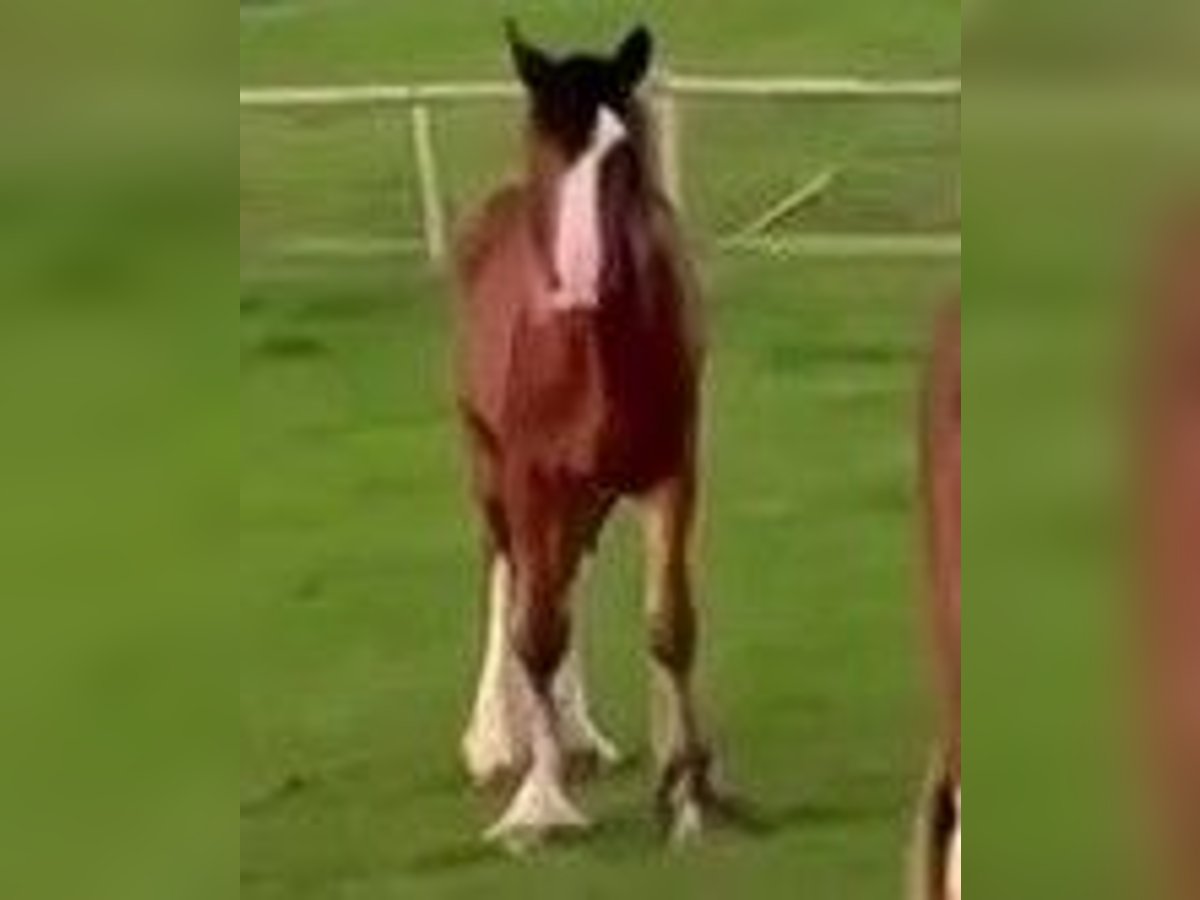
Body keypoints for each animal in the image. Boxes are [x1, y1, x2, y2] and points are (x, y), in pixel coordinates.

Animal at [453, 22, 715, 850]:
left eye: (620, 152)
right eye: (542, 143)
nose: (575, 282)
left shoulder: (671, 470)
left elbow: (670, 626)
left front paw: (690, 799)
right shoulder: (531, 475)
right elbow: (535, 628)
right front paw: (539, 804)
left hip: (590, 491)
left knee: (567, 571)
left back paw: (578, 736)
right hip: (489, 466)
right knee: (511, 576)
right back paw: (496, 742)